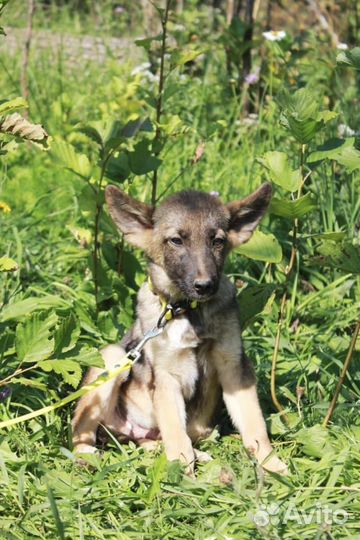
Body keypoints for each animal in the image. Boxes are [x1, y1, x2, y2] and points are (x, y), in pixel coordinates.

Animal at [72, 184, 286, 474]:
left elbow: (254, 424)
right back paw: (85, 455)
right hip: (113, 358)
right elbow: (175, 432)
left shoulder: (234, 366)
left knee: (154, 441)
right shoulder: (166, 377)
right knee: (80, 431)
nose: (204, 286)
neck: (186, 310)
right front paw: (181, 473)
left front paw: (270, 461)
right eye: (176, 240)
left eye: (217, 241)